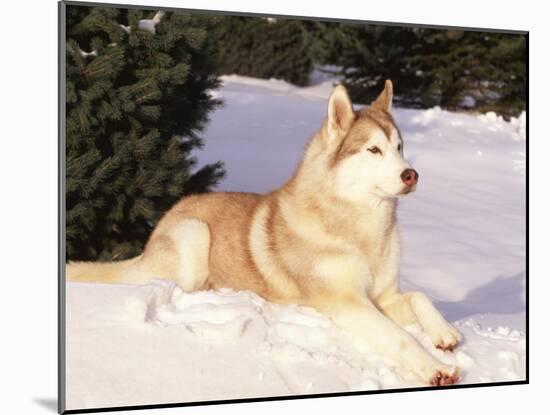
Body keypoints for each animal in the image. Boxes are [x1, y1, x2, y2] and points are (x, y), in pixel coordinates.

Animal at [70, 81, 466, 386]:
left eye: (399, 148)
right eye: (373, 149)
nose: (411, 174)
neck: (361, 231)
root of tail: (161, 226)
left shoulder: (383, 296)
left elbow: (419, 296)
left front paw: (444, 334)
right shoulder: (347, 303)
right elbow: (399, 339)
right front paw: (436, 368)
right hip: (194, 235)